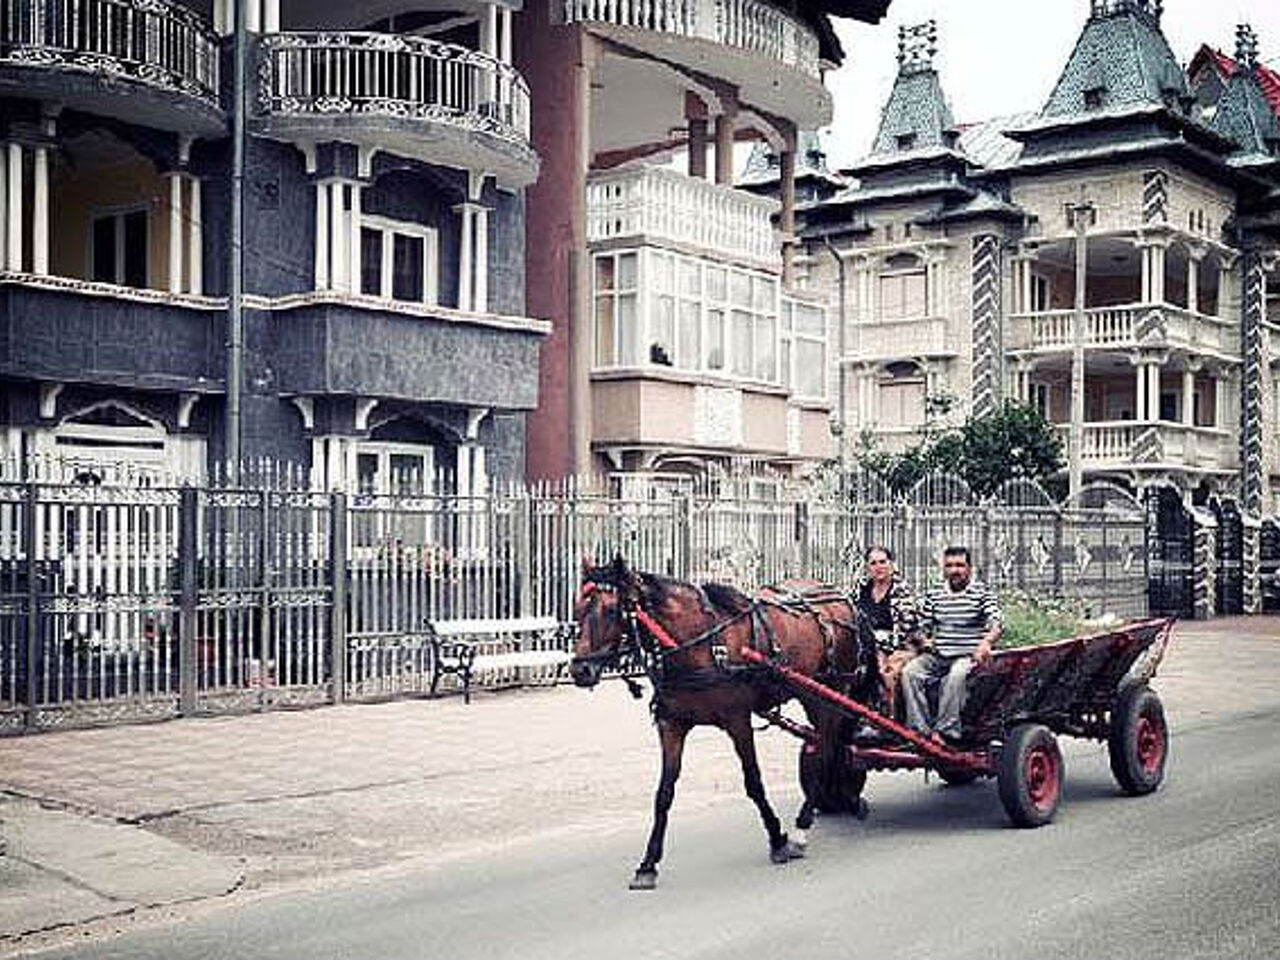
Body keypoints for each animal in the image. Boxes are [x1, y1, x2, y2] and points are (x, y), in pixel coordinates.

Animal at [570, 555, 880, 896]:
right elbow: (664, 793)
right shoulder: (672, 724)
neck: (700, 643)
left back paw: (802, 826)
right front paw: (648, 864)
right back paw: (845, 798)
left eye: (611, 610)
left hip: (824, 691)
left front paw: (777, 839)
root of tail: (843, 598)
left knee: (826, 746)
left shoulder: (737, 720)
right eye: (578, 607)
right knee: (833, 742)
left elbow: (753, 782)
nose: (580, 670)